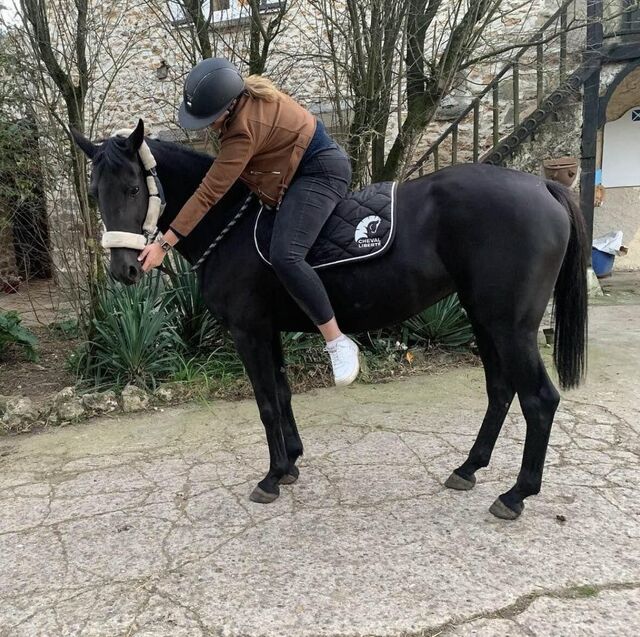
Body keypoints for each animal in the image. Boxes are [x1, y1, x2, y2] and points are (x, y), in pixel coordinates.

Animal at [72, 120, 588, 520]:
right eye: (95, 193)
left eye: (133, 188)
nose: (124, 269)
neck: (230, 227)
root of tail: (542, 185)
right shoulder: (268, 331)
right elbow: (282, 395)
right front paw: (292, 463)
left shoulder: (248, 331)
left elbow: (265, 403)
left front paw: (272, 476)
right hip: (484, 318)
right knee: (500, 390)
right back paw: (468, 468)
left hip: (511, 326)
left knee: (539, 400)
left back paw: (516, 494)